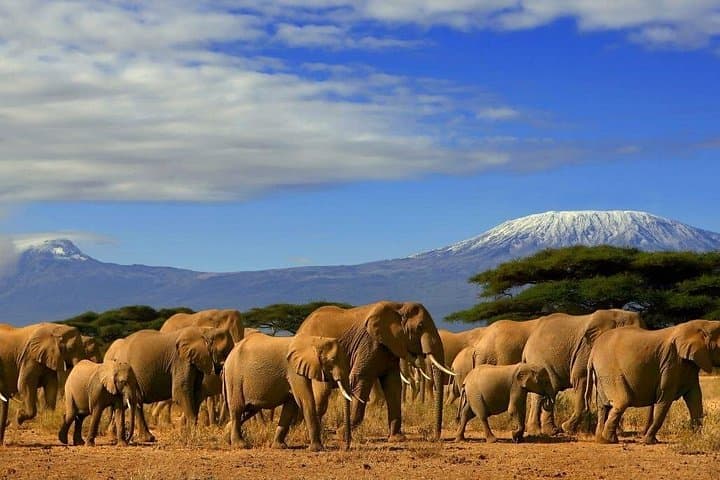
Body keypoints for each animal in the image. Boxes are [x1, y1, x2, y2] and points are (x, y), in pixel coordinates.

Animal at [104, 326, 233, 442]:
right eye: (223, 352)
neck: (205, 331)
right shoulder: (181, 360)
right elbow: (180, 391)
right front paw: (193, 436)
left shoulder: (195, 362)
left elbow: (195, 393)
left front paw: (187, 434)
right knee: (135, 401)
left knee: (133, 402)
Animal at [223, 332, 354, 451]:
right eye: (332, 360)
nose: (346, 447)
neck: (314, 340)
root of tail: (228, 357)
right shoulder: (293, 370)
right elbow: (305, 400)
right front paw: (317, 449)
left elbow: (290, 406)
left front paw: (280, 447)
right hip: (234, 378)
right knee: (238, 409)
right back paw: (240, 445)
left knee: (249, 410)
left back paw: (227, 438)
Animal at [295, 301, 455, 441]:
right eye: (420, 326)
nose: (435, 437)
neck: (399, 306)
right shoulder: (369, 343)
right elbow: (361, 379)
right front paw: (341, 435)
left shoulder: (389, 346)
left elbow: (393, 385)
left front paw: (397, 438)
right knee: (322, 394)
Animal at [588, 320, 720, 445]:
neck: (703, 325)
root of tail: (592, 353)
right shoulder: (671, 363)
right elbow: (665, 399)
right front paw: (649, 441)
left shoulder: (689, 366)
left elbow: (695, 398)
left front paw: (698, 439)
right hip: (609, 370)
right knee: (622, 401)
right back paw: (608, 440)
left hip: (601, 374)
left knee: (603, 406)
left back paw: (601, 440)